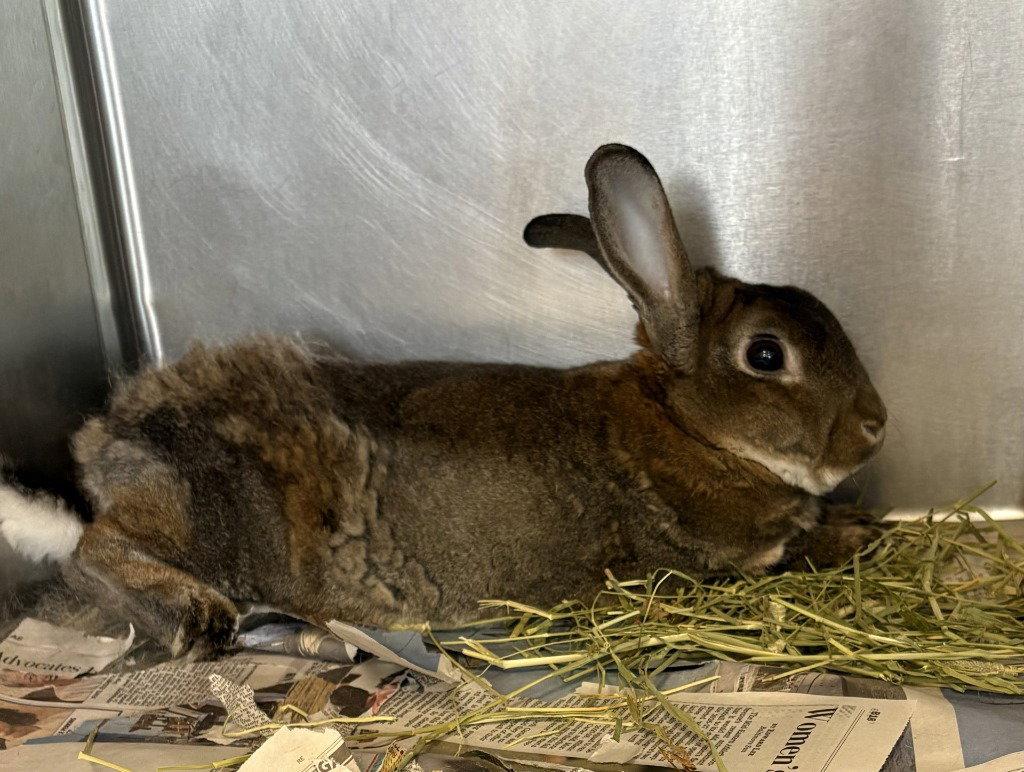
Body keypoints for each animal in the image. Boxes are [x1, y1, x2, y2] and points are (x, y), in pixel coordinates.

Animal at [0, 144, 886, 659]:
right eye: (767, 354)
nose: (876, 429)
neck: (687, 428)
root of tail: (109, 445)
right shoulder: (707, 557)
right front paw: (853, 537)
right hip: (208, 514)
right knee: (98, 549)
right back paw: (200, 616)